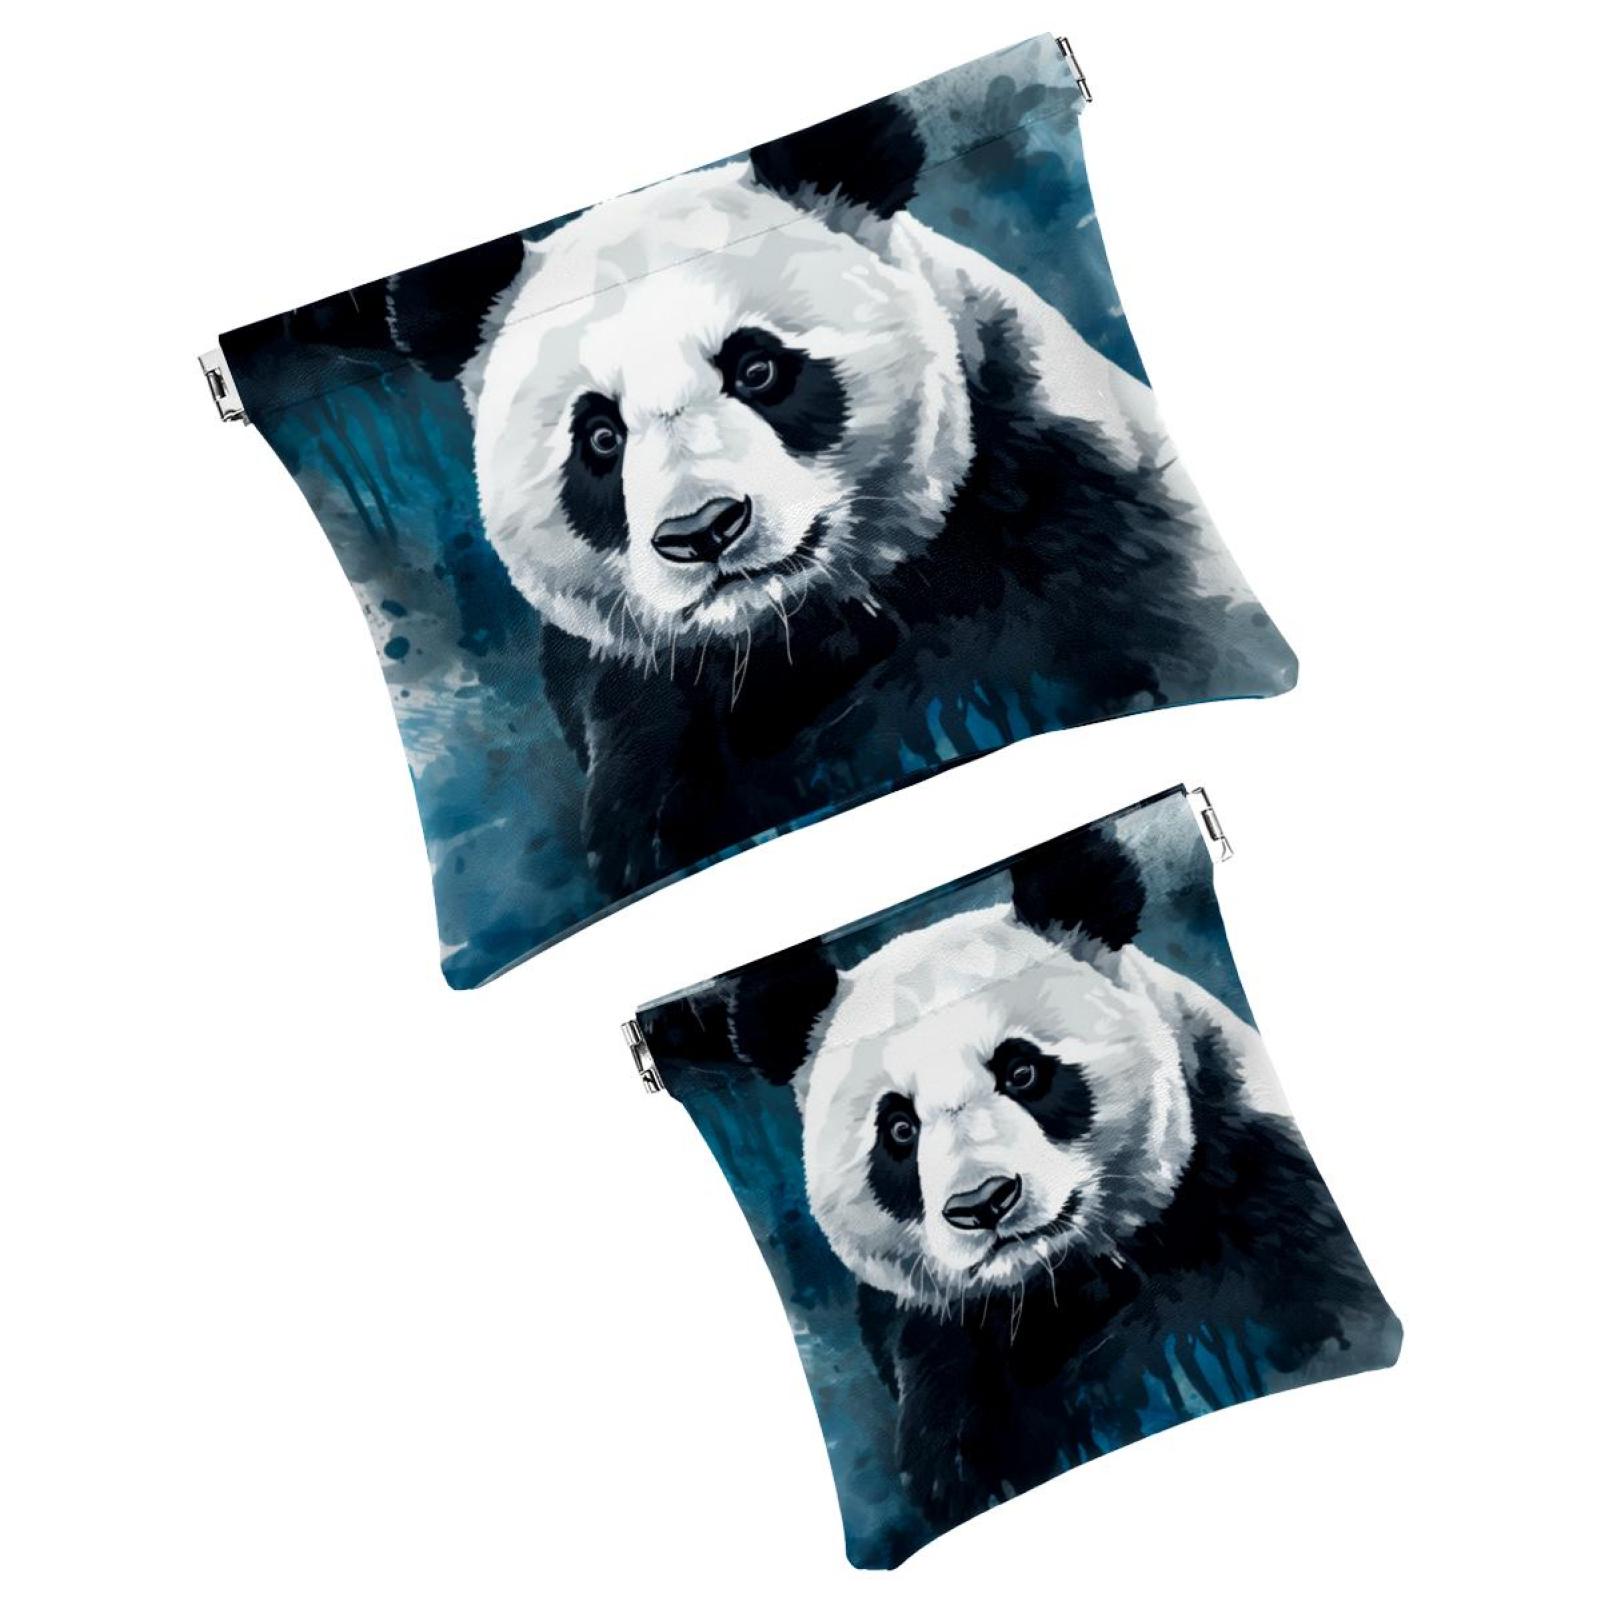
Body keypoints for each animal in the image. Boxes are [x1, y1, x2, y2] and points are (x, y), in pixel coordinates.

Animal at [388, 100, 1292, 896]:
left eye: (756, 367)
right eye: (600, 438)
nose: (703, 530)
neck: (794, 633)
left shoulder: (1068, 517)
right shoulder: (634, 688)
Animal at [683, 825, 1401, 1535]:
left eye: (1022, 1071)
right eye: (899, 1129)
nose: (982, 1203)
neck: (1059, 1288)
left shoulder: (1255, 1196)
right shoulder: (938, 1345)